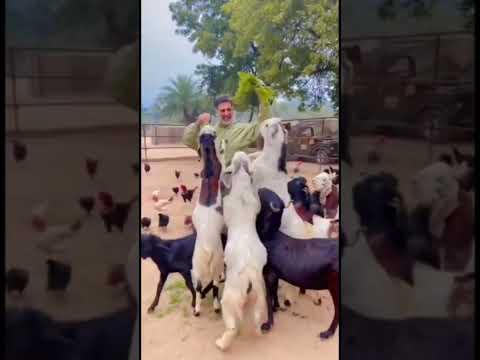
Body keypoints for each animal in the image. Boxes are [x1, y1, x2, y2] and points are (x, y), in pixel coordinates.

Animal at [216, 152, 268, 352]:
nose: (239, 153)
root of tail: (249, 277)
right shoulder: (254, 201)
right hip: (260, 300)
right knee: (256, 323)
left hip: (230, 300)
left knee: (231, 327)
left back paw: (221, 344)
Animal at [256, 187, 340, 338]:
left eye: (264, 195)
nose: (260, 188)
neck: (270, 236)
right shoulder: (275, 274)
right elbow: (274, 293)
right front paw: (276, 307)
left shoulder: (267, 273)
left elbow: (268, 297)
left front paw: (268, 324)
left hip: (334, 285)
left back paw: (328, 332)